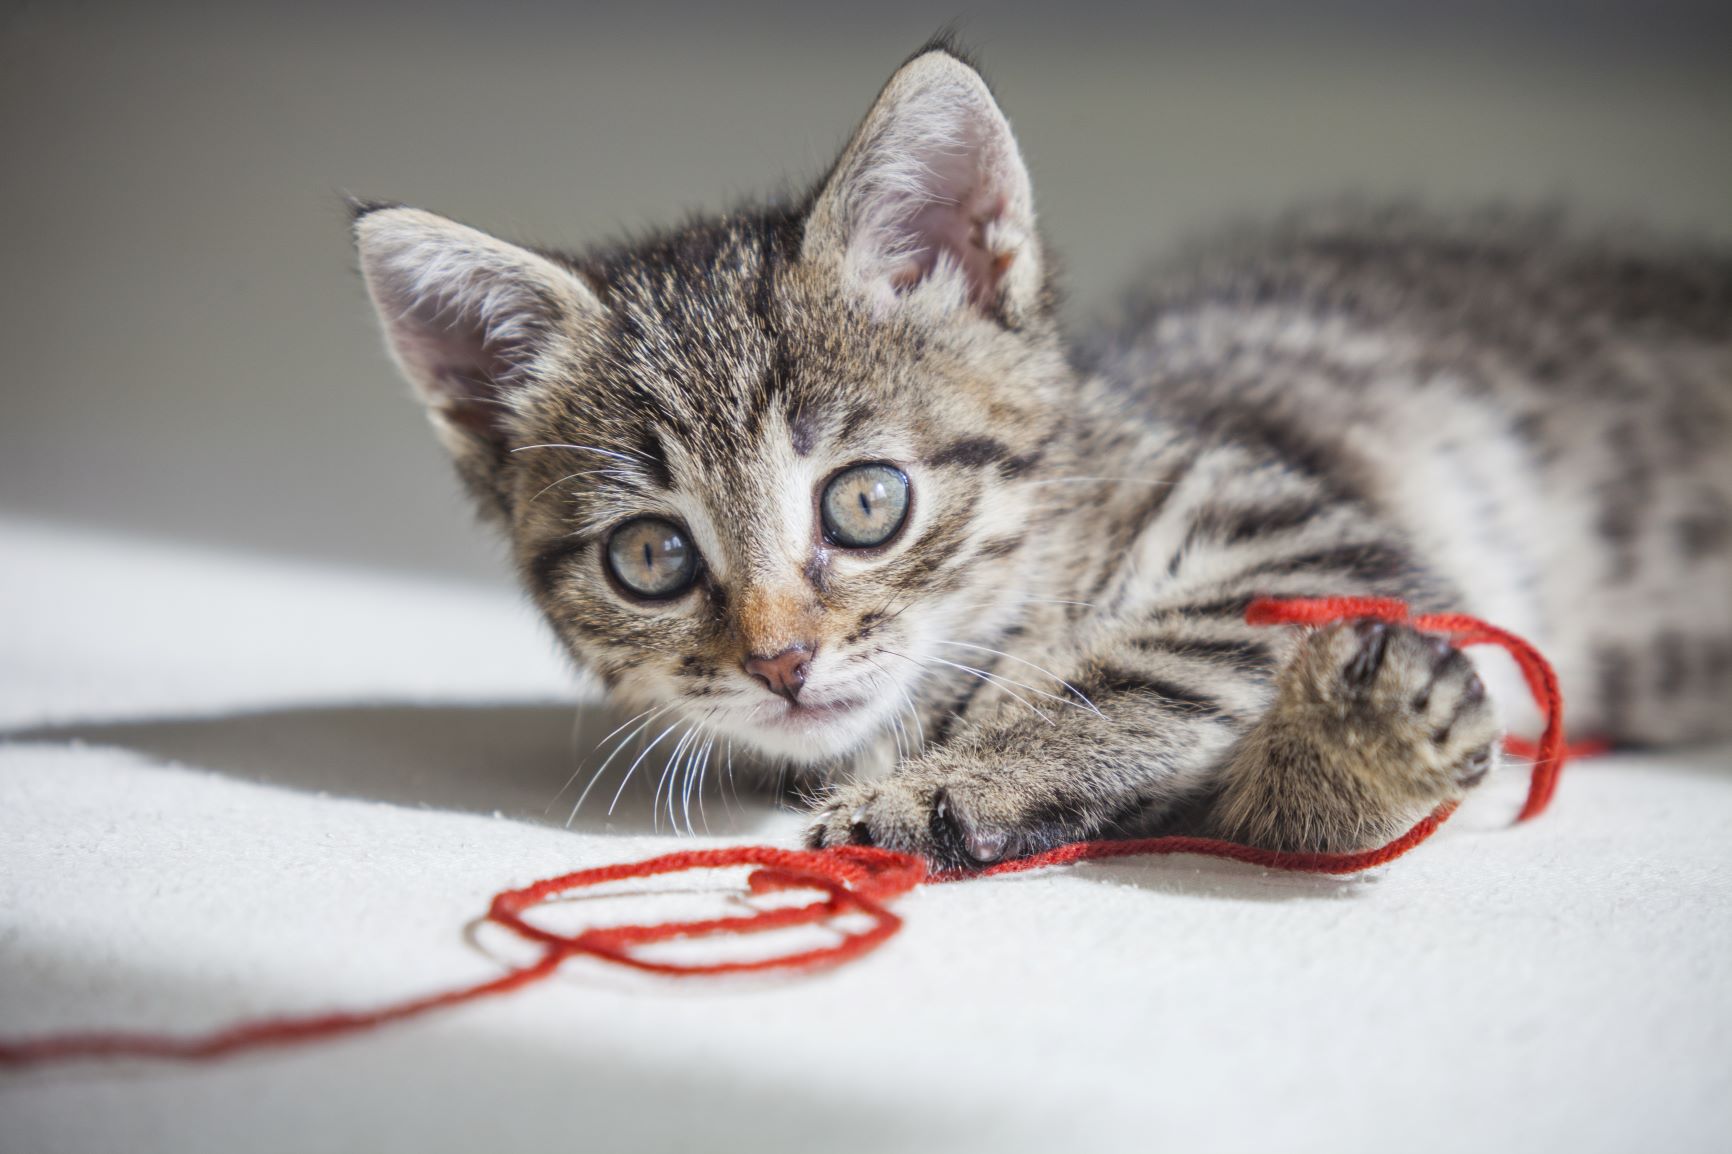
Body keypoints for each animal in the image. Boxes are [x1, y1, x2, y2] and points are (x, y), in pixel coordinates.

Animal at [351, 40, 1732, 866]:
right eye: (651, 557)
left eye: (866, 501)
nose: (781, 660)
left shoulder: (1314, 531)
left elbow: (1142, 668)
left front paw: (1368, 729)